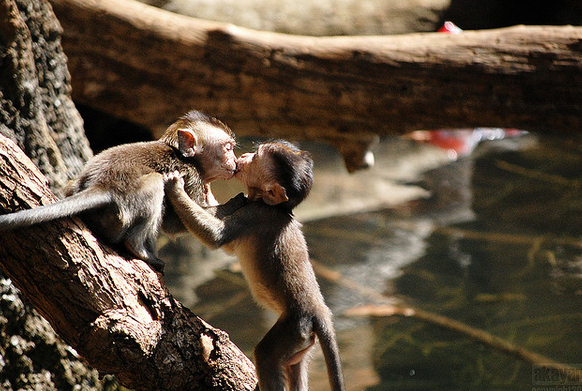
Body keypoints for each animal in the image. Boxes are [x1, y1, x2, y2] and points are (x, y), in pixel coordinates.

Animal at [0, 112, 240, 274]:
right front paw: (234, 204)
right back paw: (138, 249)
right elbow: (173, 223)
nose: (235, 161)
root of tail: (100, 185)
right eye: (227, 148)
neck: (185, 156)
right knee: (155, 184)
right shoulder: (191, 176)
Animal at [164, 141, 346, 391]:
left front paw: (176, 188)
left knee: (266, 355)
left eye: (256, 157)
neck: (277, 208)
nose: (243, 156)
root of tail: (320, 312)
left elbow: (216, 238)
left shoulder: (254, 214)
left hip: (295, 326)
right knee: (294, 365)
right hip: (303, 339)